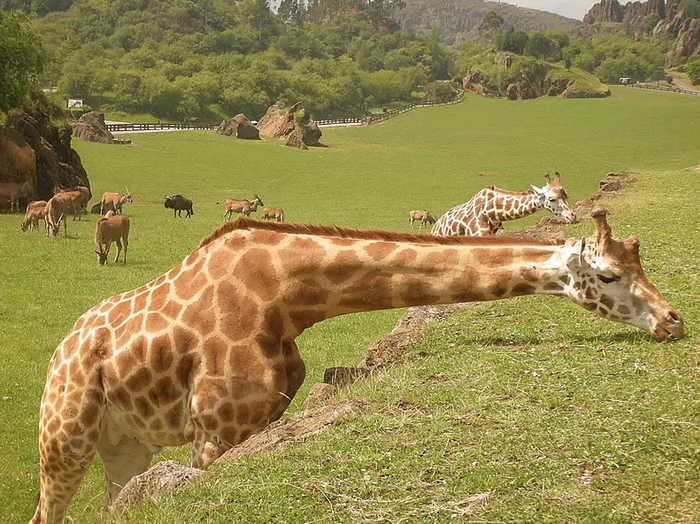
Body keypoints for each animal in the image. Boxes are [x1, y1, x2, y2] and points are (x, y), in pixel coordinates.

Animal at [31, 209, 684, 524]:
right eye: (608, 275)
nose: (674, 321)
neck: (286, 297)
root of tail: (61, 352)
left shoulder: (261, 420)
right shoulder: (214, 431)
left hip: (124, 444)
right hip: (65, 437)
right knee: (47, 509)